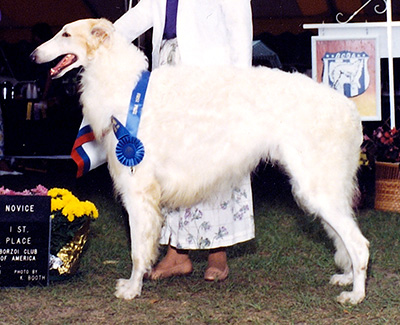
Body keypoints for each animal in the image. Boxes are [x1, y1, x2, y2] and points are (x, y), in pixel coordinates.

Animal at [30, 19, 368, 304]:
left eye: (65, 34)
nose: (33, 56)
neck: (125, 88)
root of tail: (348, 109)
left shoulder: (138, 190)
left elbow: (138, 250)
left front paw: (132, 288)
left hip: (317, 187)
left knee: (360, 245)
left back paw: (356, 295)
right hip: (323, 189)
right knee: (346, 240)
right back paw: (346, 278)